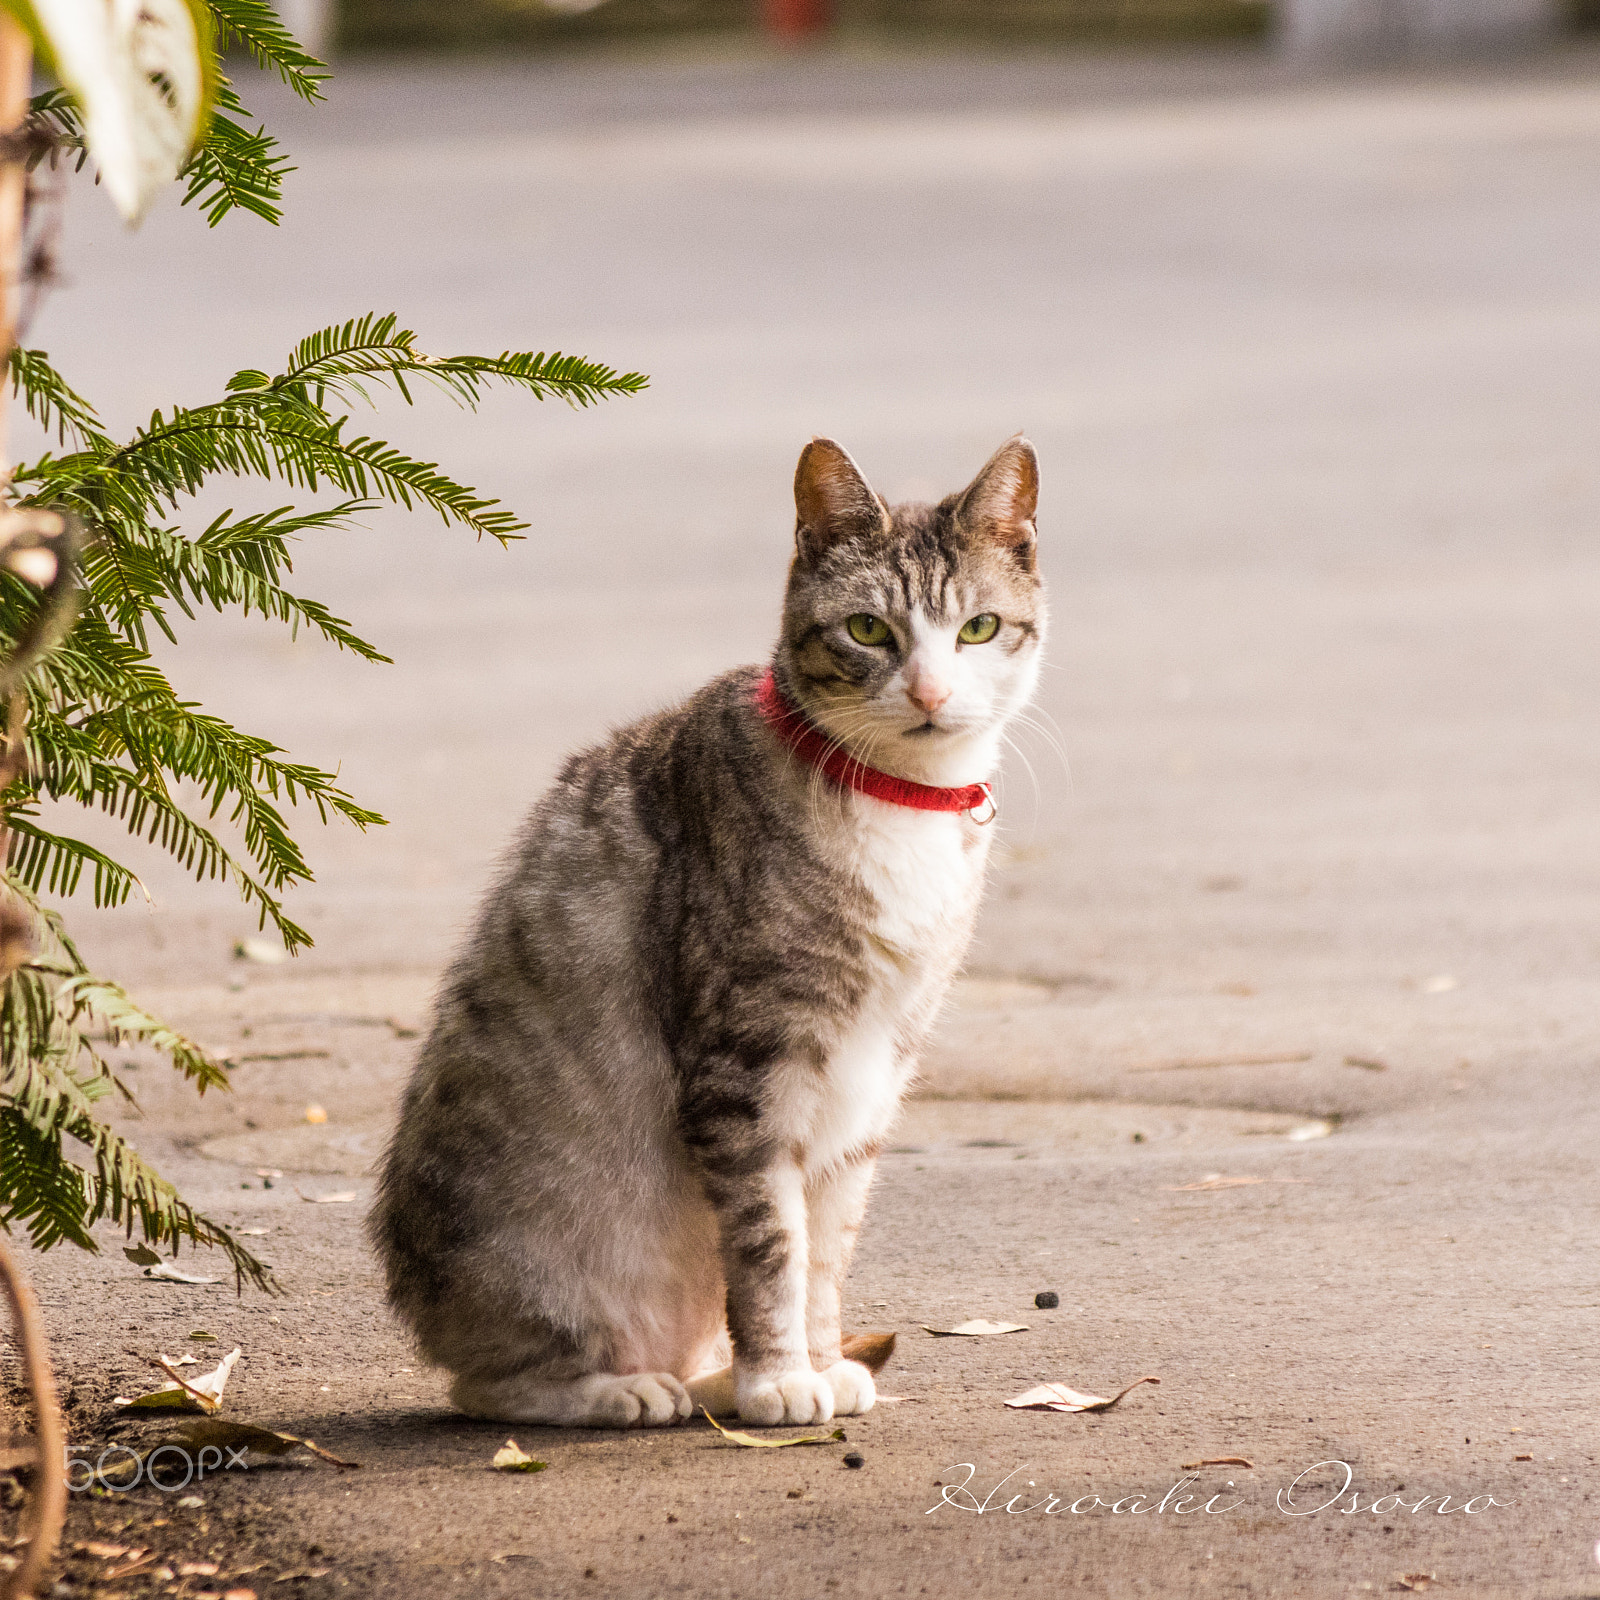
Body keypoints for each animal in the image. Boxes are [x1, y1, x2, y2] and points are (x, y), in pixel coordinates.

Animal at [372, 432, 1049, 1433]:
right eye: (868, 630)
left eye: (978, 628)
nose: (930, 691)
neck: (896, 799)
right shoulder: (744, 1069)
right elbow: (770, 1244)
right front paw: (779, 1380)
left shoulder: (875, 1071)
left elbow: (826, 1244)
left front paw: (815, 1362)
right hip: (534, 1255)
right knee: (489, 1385)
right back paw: (620, 1390)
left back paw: (710, 1381)